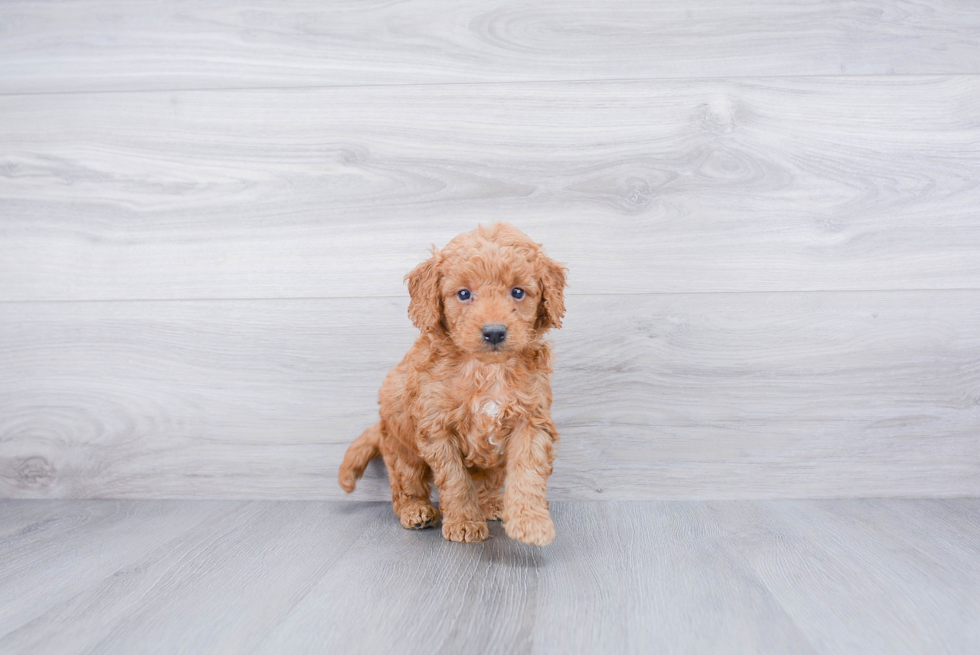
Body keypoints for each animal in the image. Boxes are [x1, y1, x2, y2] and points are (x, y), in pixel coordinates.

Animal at [340, 223, 568, 544]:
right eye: (463, 294)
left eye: (518, 292)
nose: (494, 332)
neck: (485, 369)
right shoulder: (437, 427)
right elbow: (455, 480)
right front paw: (464, 522)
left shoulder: (531, 419)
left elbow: (528, 471)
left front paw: (531, 523)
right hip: (401, 450)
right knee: (405, 485)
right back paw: (416, 511)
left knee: (487, 481)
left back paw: (491, 504)